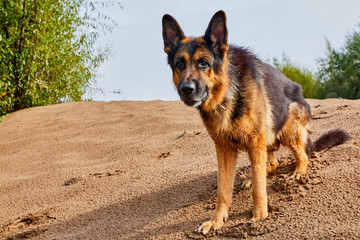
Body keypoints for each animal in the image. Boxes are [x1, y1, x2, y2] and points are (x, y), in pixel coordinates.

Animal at [162, 10, 348, 233]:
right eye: (180, 64)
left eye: (203, 63)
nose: (186, 90)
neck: (227, 92)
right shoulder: (224, 148)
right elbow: (223, 190)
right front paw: (217, 220)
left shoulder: (255, 140)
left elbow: (260, 188)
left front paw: (260, 216)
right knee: (272, 163)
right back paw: (254, 176)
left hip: (288, 125)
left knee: (302, 155)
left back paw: (298, 172)